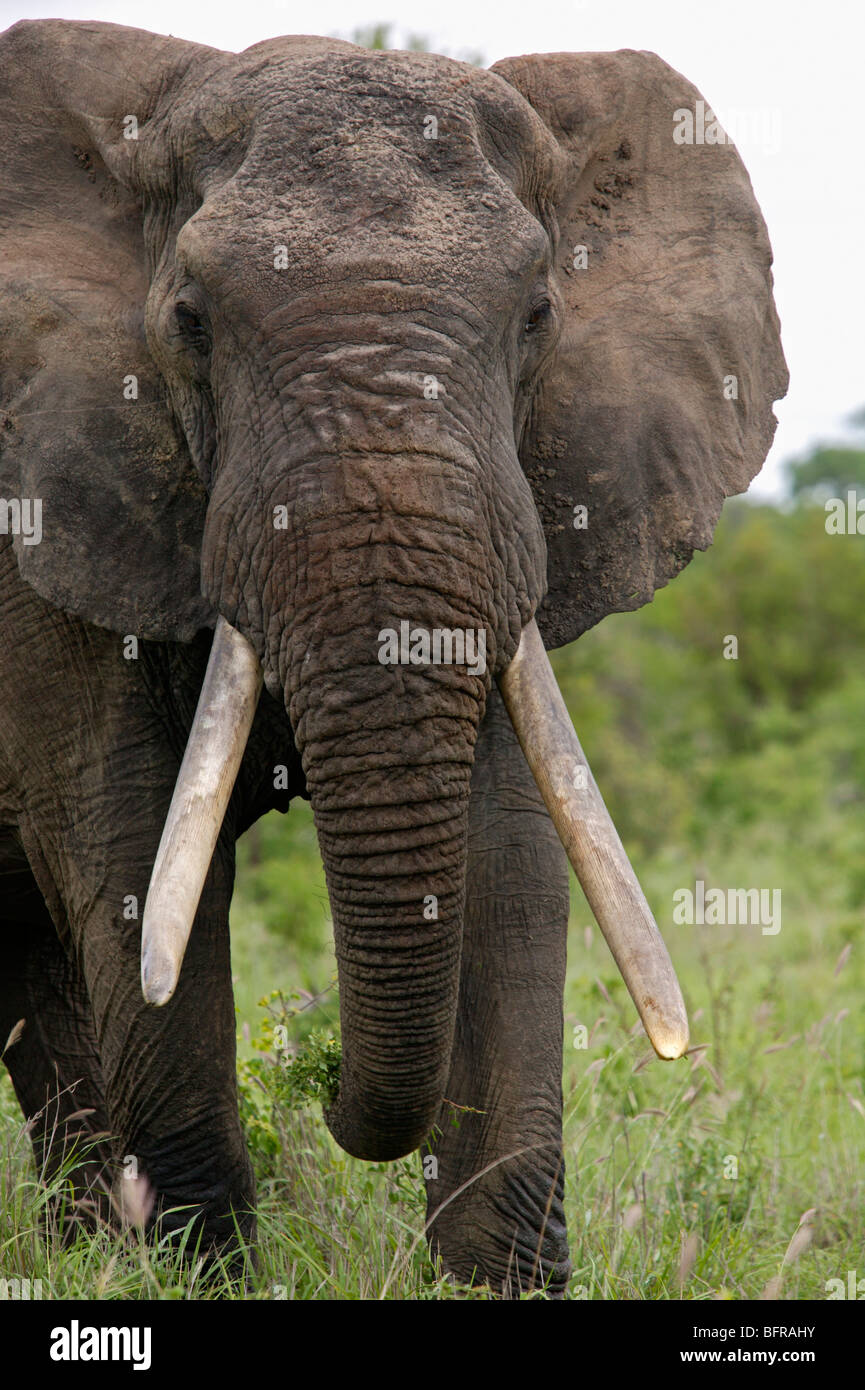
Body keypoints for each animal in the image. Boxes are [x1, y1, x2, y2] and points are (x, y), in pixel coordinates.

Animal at [0, 16, 784, 1295]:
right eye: (189, 323)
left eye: (537, 317)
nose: (326, 1092)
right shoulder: (49, 504)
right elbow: (131, 860)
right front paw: (205, 1271)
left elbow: (509, 854)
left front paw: (496, 1278)